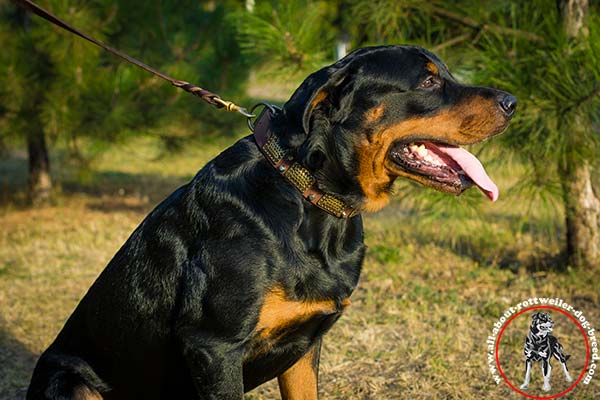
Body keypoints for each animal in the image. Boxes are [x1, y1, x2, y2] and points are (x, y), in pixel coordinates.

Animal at [28, 45, 516, 398]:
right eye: (429, 80)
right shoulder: (214, 347)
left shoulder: (304, 348)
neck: (309, 196)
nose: (513, 101)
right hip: (70, 383)